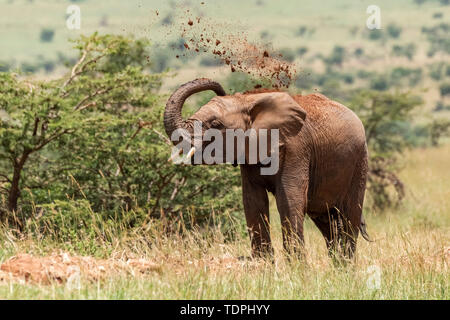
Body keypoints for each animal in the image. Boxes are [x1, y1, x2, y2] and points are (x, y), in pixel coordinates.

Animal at [163, 77, 370, 260]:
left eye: (216, 124)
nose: (221, 90)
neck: (248, 100)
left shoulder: (296, 148)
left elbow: (289, 200)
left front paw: (297, 271)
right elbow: (253, 201)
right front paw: (264, 266)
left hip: (359, 161)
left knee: (349, 218)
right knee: (328, 224)